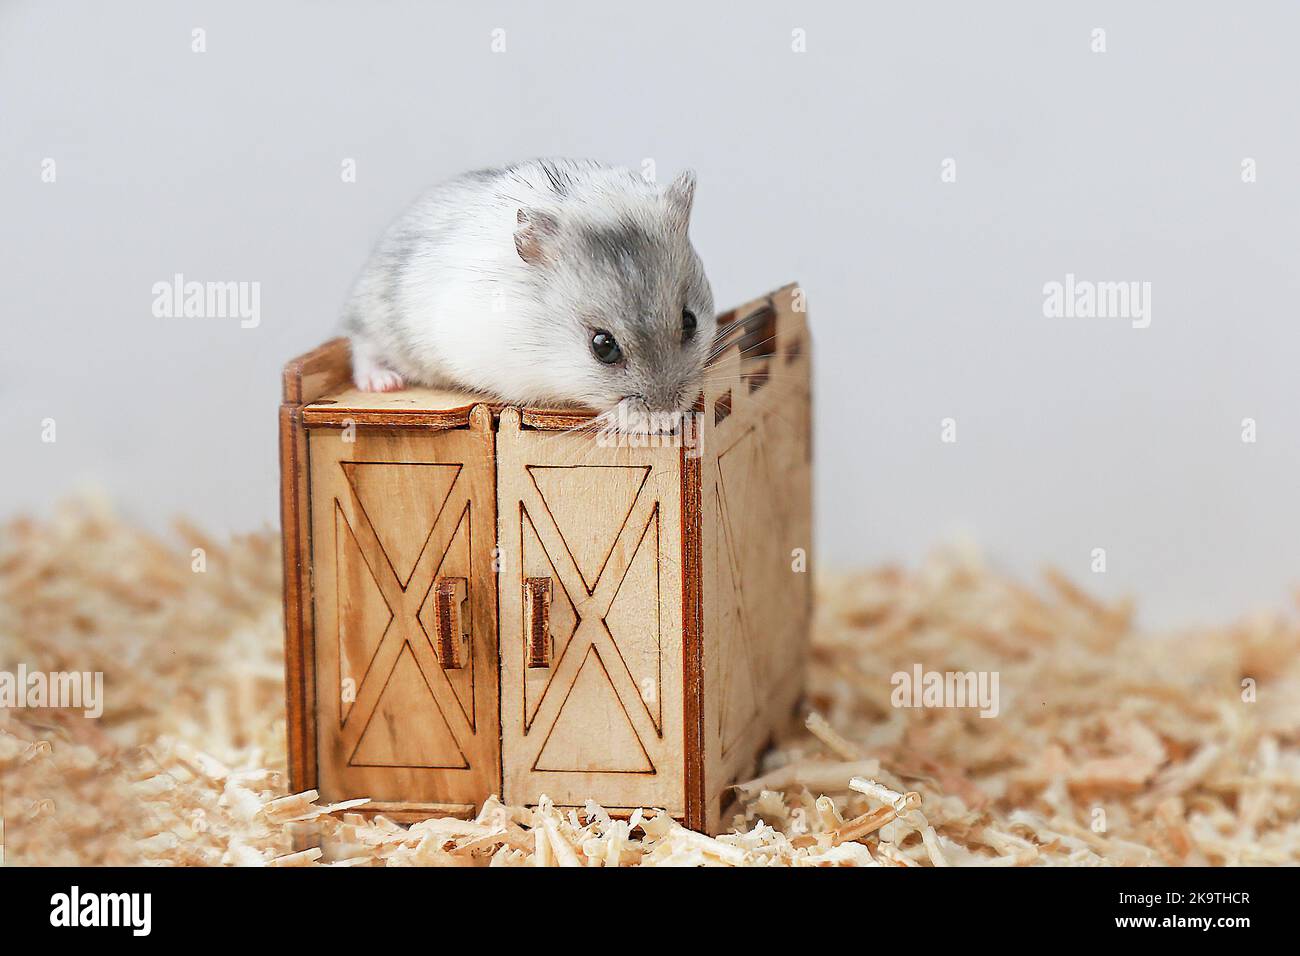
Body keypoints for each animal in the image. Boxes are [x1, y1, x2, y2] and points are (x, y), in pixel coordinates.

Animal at [340, 158, 717, 424]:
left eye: (689, 322)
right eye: (603, 347)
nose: (667, 416)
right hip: (377, 318)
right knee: (362, 347)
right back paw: (384, 382)